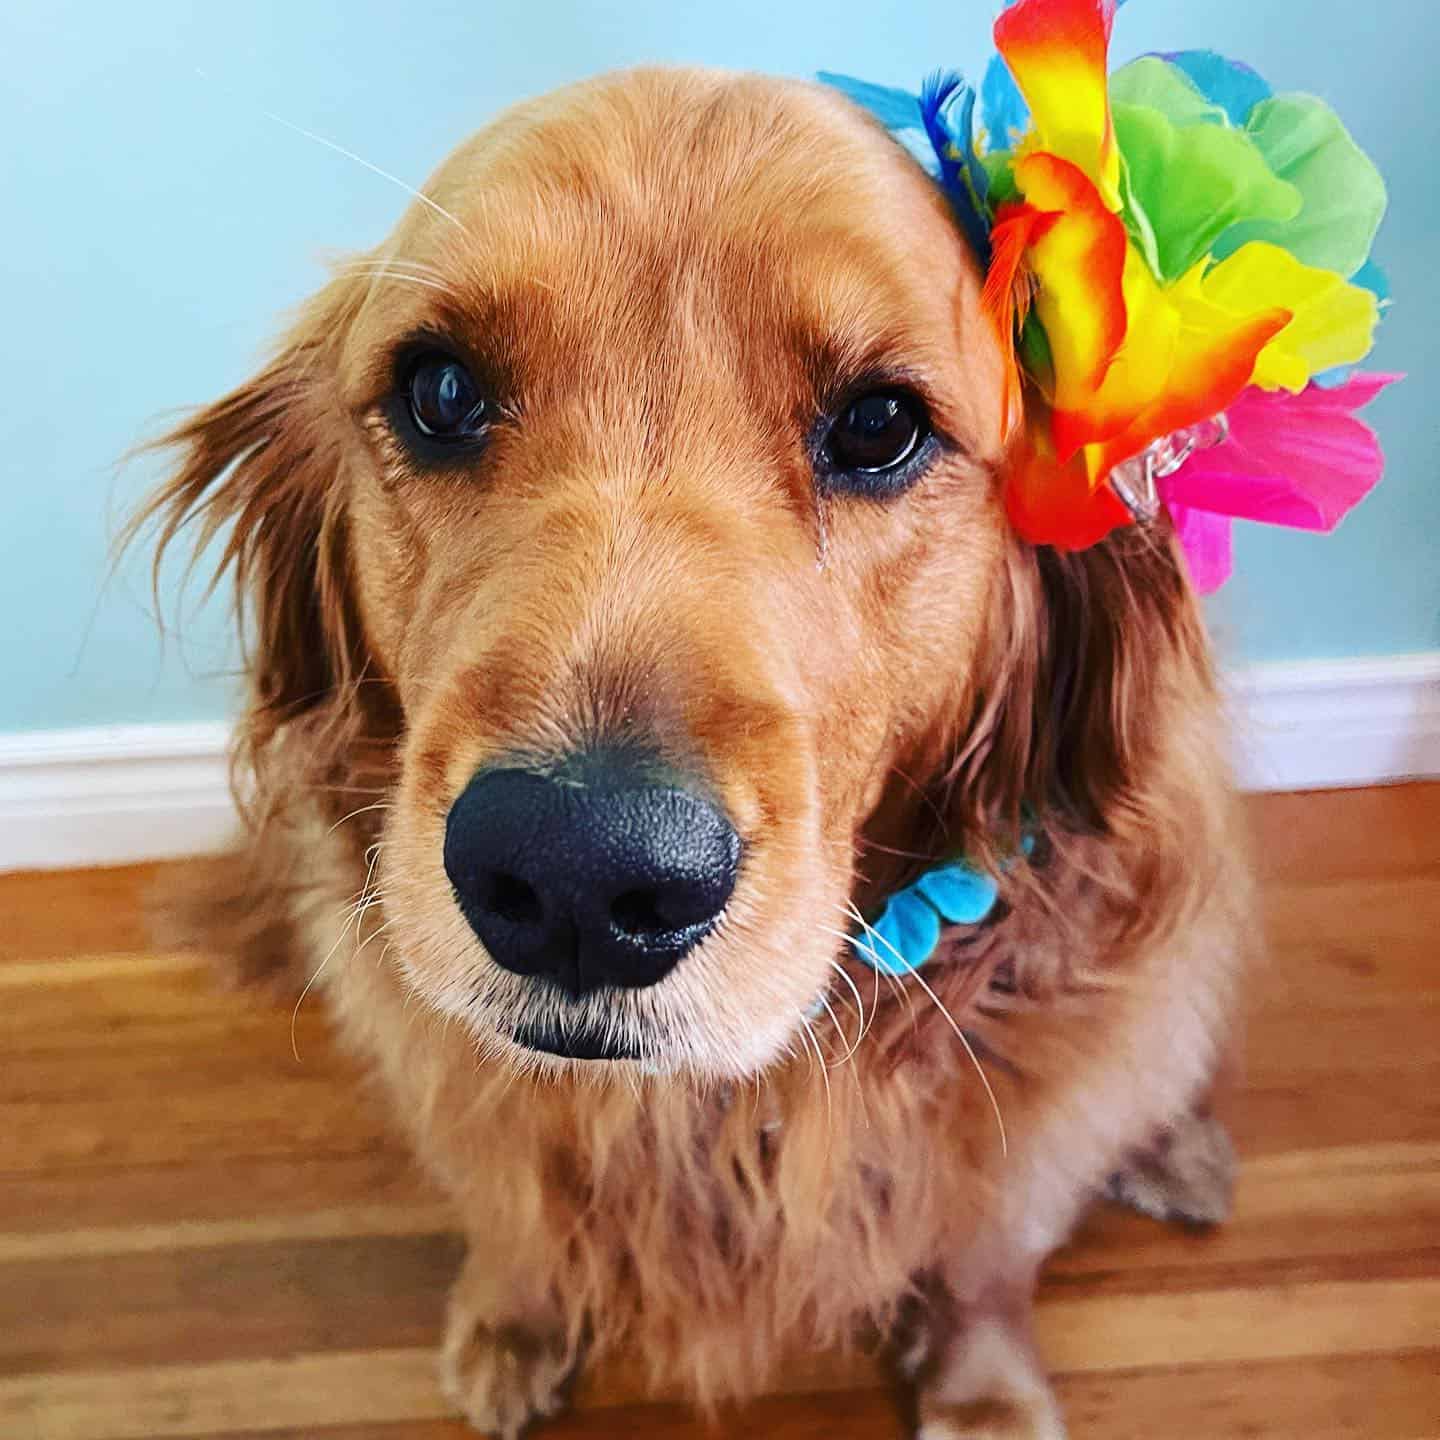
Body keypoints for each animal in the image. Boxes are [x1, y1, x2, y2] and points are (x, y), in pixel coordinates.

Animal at [140, 64, 1255, 1428]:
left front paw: (985, 1391)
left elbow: (987, 1249)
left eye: (880, 425)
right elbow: (511, 1192)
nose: (576, 875)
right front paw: (511, 1321)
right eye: (441, 392)